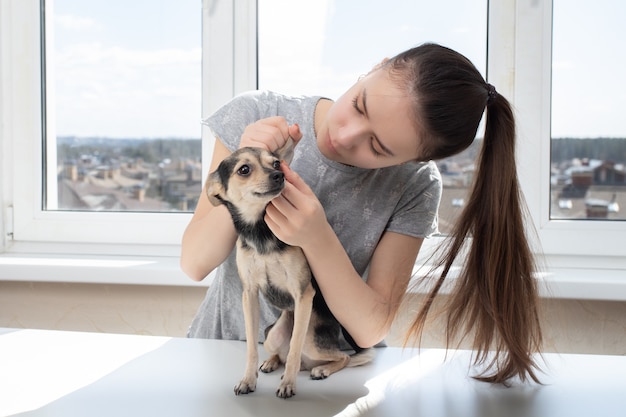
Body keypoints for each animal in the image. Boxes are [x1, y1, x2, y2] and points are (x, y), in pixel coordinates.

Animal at [205, 139, 372, 396]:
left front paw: (288, 385)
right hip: (273, 334)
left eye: (276, 163)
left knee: (339, 357)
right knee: (281, 353)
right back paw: (271, 362)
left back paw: (321, 370)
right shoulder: (249, 294)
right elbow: (252, 347)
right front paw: (248, 380)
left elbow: (294, 346)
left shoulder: (303, 293)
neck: (261, 231)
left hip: (312, 339)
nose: (279, 175)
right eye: (244, 169)